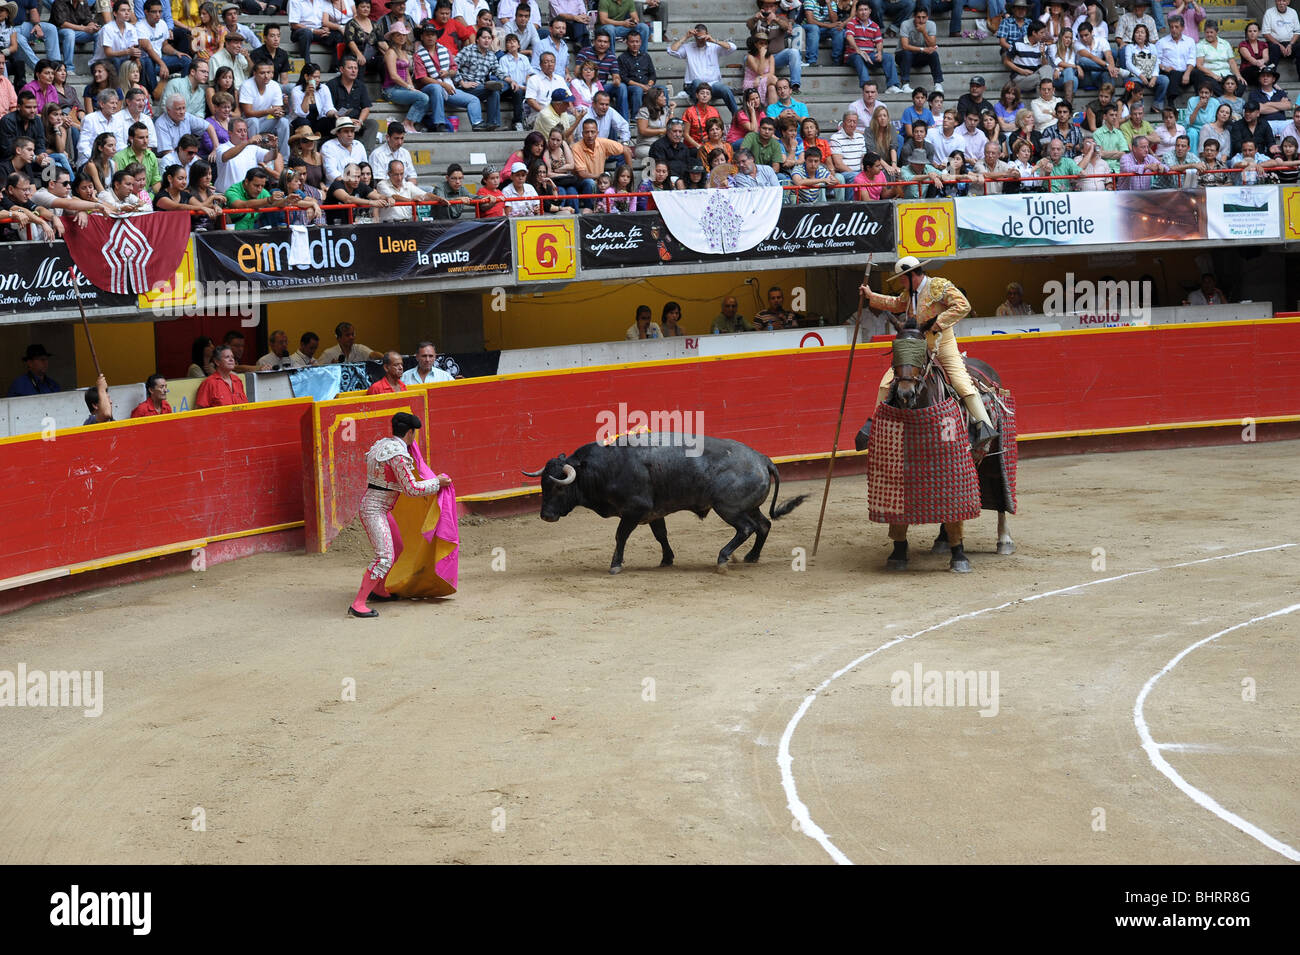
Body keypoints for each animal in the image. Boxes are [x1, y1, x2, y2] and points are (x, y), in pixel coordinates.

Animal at [522, 433, 806, 574]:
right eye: (543, 485)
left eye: (559, 486)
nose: (546, 515)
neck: (603, 467)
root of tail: (762, 459)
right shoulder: (654, 513)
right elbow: (661, 535)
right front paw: (667, 559)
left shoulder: (634, 510)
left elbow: (620, 536)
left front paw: (615, 565)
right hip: (749, 507)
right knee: (764, 525)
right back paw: (751, 557)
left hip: (729, 508)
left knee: (746, 528)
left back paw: (723, 558)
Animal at [863, 317, 1013, 571]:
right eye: (895, 353)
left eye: (921, 355)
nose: (905, 393)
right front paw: (898, 554)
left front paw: (959, 557)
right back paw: (942, 539)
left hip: (992, 454)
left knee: (997, 486)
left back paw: (1004, 540)